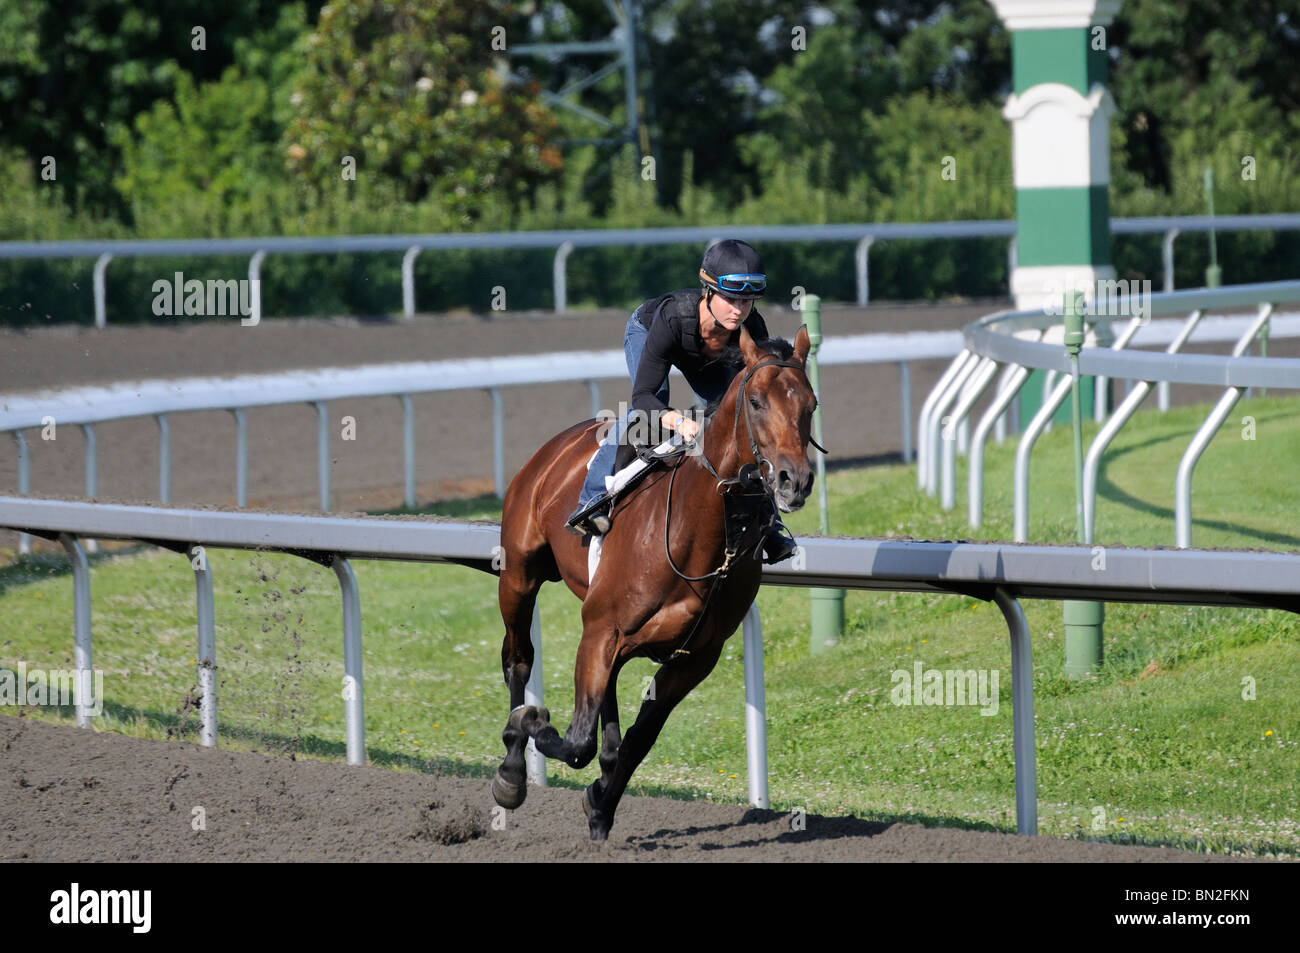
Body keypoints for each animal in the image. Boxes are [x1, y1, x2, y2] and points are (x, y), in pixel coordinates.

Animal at [488, 327, 811, 842]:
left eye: (811, 404)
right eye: (757, 402)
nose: (794, 481)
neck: (696, 535)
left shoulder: (693, 658)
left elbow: (638, 739)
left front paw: (600, 804)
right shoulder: (602, 628)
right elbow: (576, 741)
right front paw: (534, 731)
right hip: (520, 575)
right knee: (519, 660)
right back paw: (513, 771)